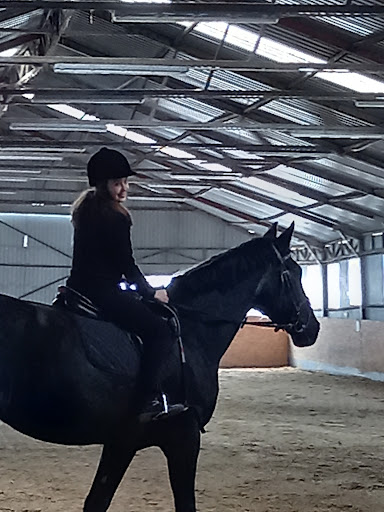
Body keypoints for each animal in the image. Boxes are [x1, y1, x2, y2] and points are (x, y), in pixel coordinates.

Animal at [0, 222, 318, 510]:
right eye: (295, 272)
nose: (311, 327)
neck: (191, 330)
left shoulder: (122, 441)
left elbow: (97, 501)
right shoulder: (184, 436)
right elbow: (185, 504)